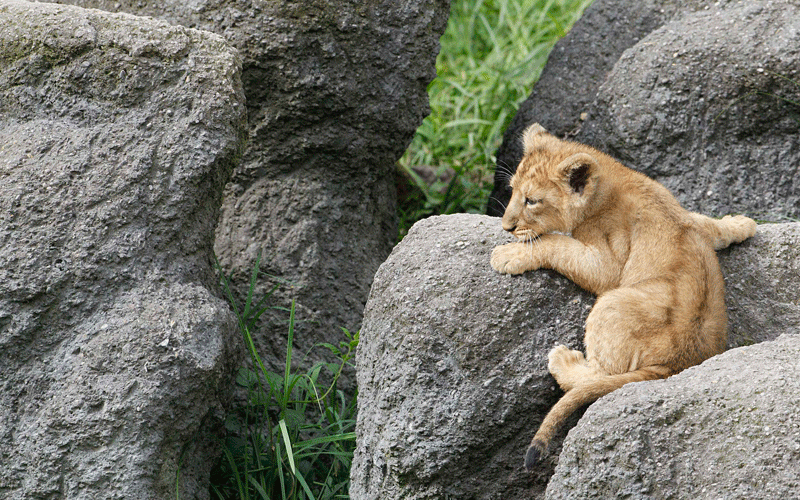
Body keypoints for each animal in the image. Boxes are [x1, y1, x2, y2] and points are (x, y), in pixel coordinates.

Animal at [490, 123, 757, 470]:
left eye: (532, 201)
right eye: (511, 191)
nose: (506, 227)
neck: (610, 181)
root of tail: (677, 364)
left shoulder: (607, 264)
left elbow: (554, 243)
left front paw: (508, 254)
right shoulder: (685, 218)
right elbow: (708, 224)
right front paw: (742, 223)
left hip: (612, 304)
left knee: (598, 377)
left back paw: (563, 360)